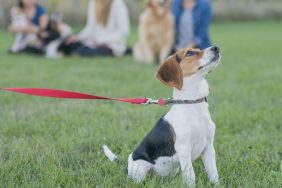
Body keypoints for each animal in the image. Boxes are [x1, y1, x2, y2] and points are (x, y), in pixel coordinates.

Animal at [103, 46, 220, 186]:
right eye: (190, 53)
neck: (192, 103)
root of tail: (127, 167)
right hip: (141, 167)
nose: (216, 48)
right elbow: (191, 176)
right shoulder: (184, 148)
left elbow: (213, 173)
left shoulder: (208, 147)